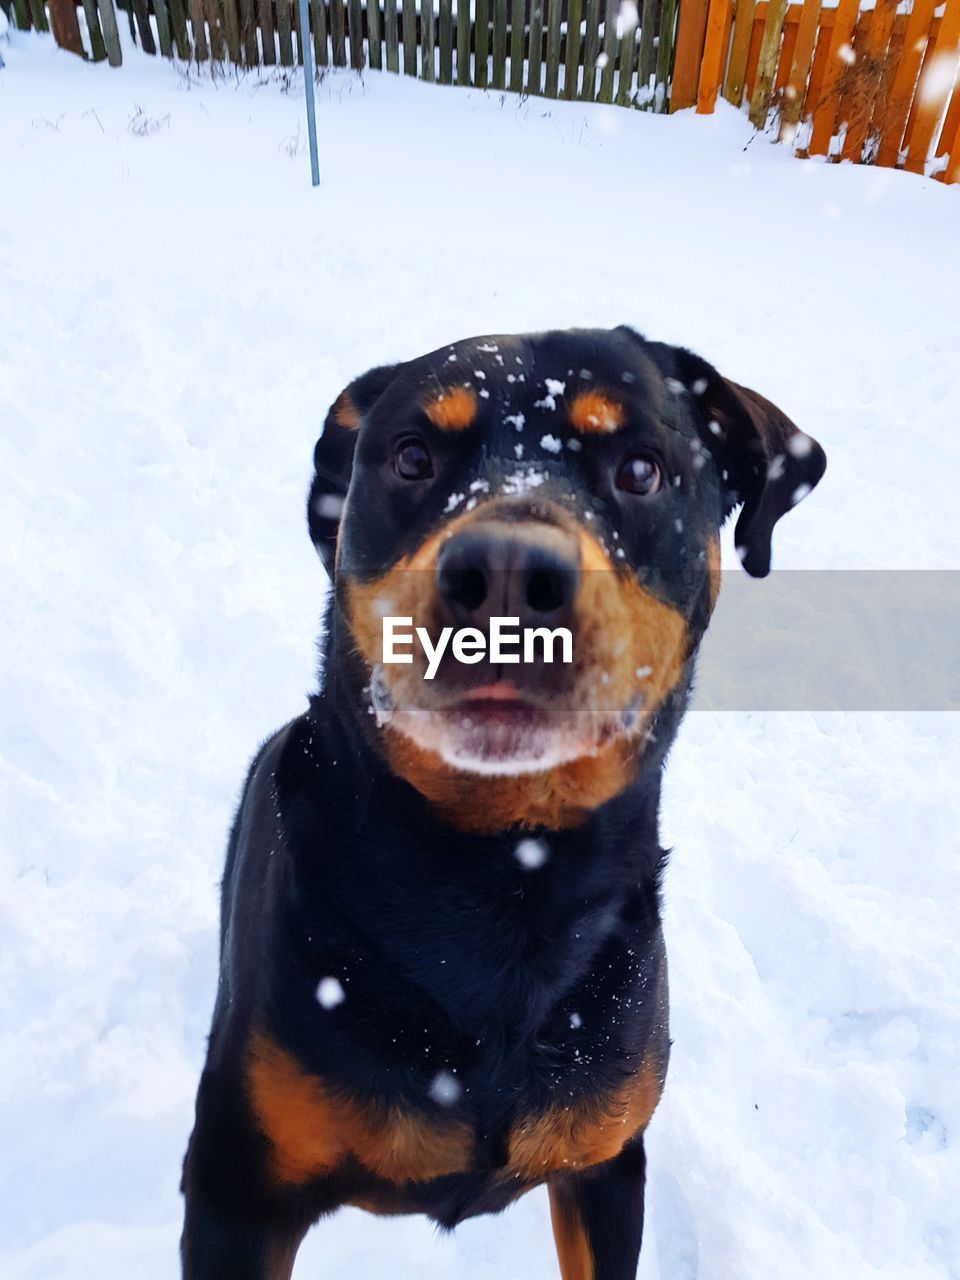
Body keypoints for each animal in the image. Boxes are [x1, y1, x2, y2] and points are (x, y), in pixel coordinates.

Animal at [180, 325, 829, 1274]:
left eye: (641, 469)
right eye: (412, 456)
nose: (508, 571)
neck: (500, 890)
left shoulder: (607, 1162)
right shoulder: (239, 1185)